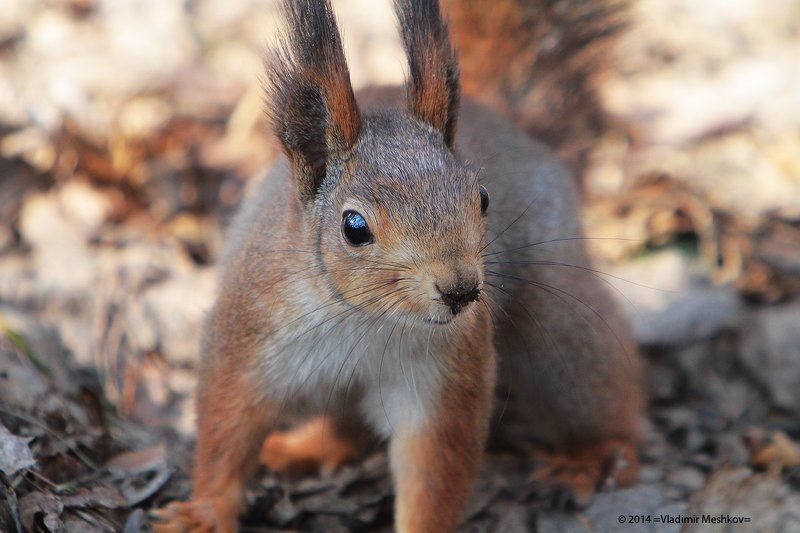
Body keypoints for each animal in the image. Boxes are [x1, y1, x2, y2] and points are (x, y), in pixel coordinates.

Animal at [154, 0, 642, 531]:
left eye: (483, 198)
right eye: (354, 227)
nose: (460, 291)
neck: (364, 317)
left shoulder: (446, 371)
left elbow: (434, 465)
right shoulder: (248, 334)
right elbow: (226, 428)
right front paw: (203, 514)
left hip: (562, 329)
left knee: (598, 391)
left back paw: (593, 458)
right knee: (344, 429)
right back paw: (302, 447)